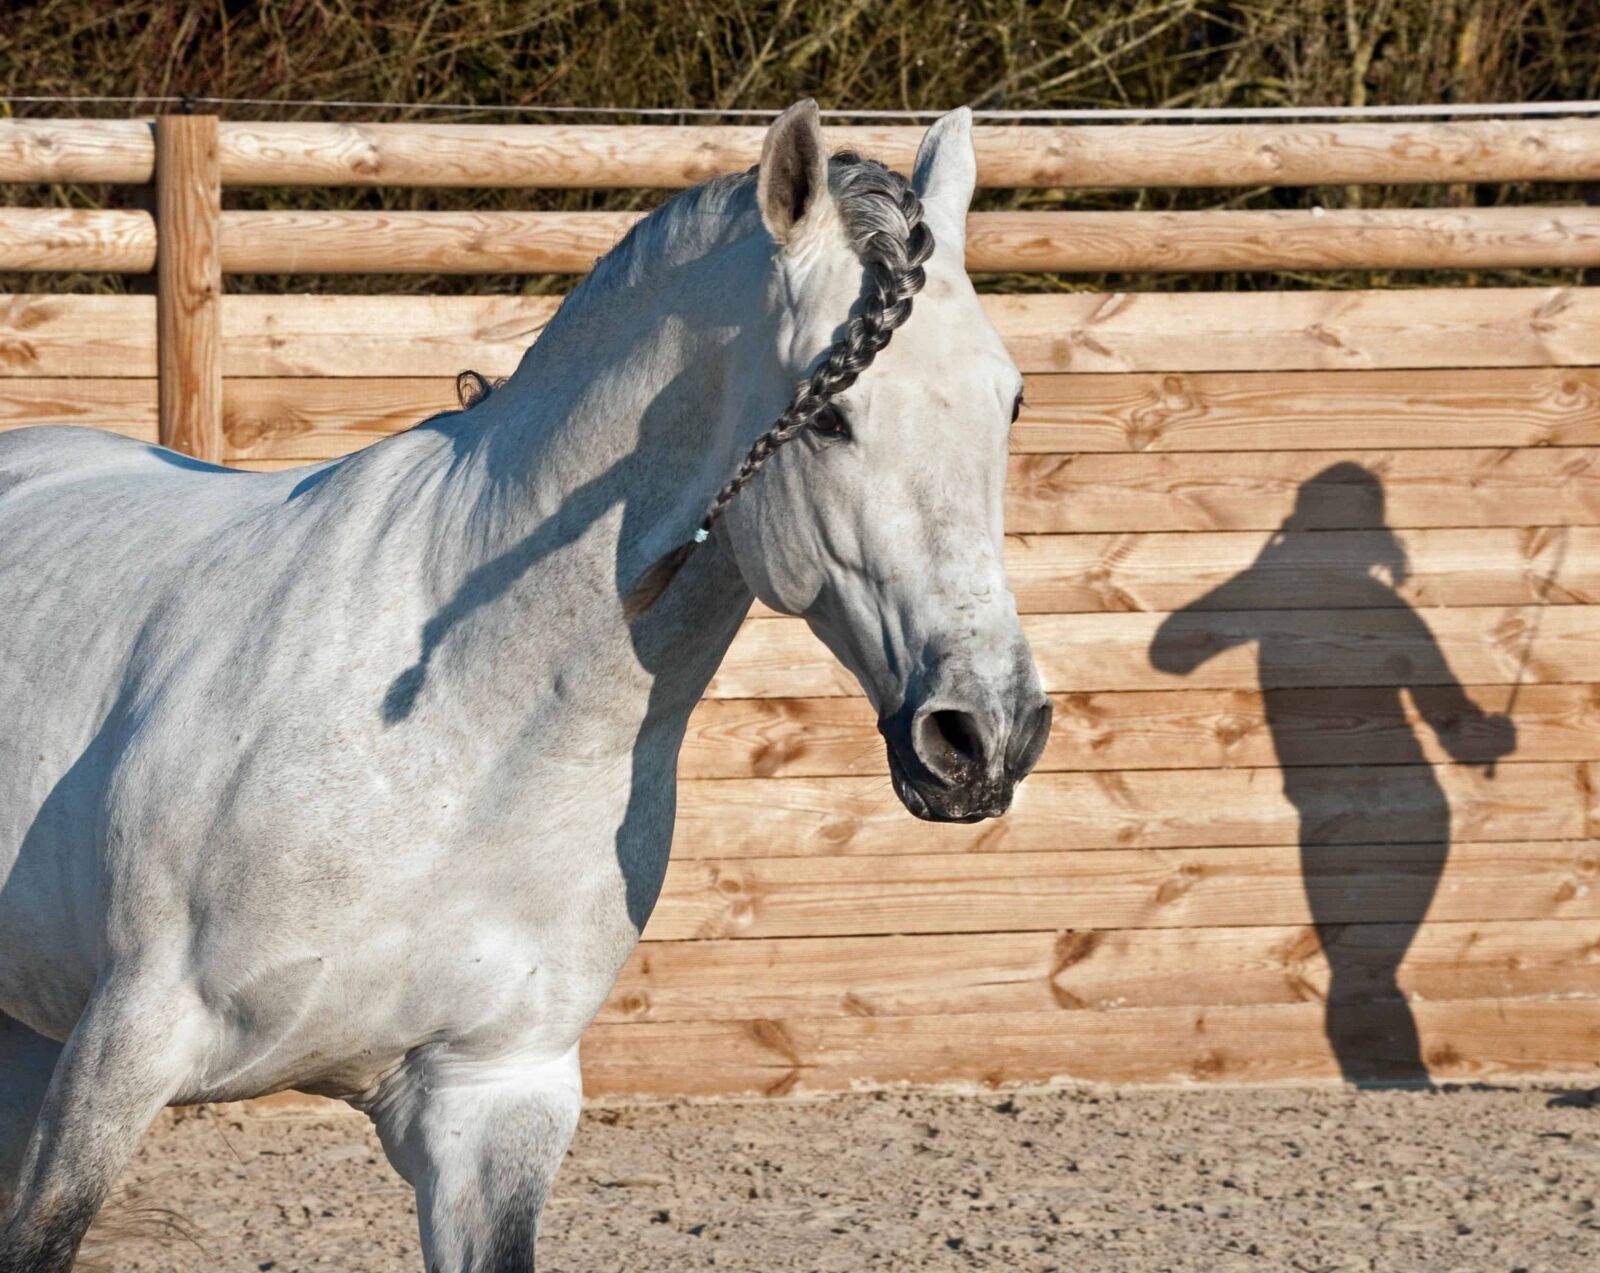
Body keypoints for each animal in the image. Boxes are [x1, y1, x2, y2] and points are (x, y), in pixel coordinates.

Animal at [0, 101, 1050, 1271]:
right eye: (830, 415)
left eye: (1009, 401)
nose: (984, 733)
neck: (459, 738)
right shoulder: (122, 1054)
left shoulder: (492, 1100)